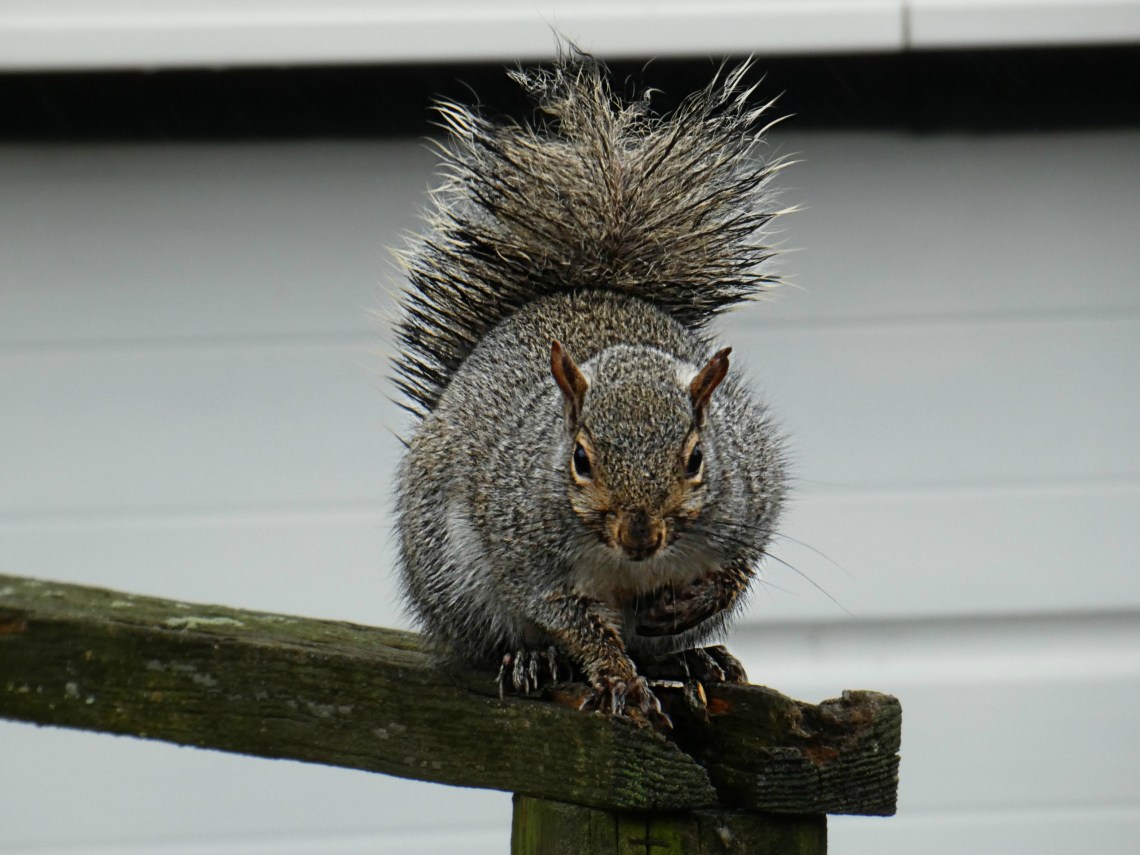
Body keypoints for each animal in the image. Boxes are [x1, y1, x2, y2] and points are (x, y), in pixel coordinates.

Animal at [392, 52, 788, 728]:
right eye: (580, 459)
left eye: (696, 459)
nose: (639, 536)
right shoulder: (530, 557)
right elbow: (576, 624)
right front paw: (617, 680)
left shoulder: (750, 501)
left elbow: (736, 572)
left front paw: (691, 604)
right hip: (458, 582)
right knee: (504, 640)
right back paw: (534, 661)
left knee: (664, 648)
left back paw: (693, 658)